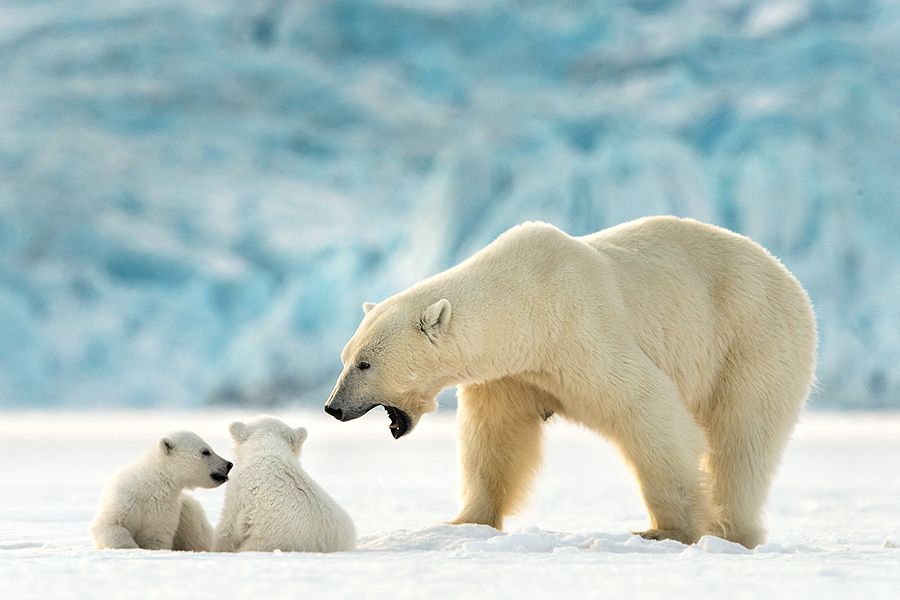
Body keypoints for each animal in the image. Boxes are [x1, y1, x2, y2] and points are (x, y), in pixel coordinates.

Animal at [91, 431, 233, 550]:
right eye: (205, 451)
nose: (229, 464)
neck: (152, 485)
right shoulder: (124, 499)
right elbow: (109, 525)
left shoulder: (163, 511)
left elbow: (155, 538)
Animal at [324, 216, 817, 549]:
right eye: (345, 358)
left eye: (365, 364)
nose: (333, 407)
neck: (525, 302)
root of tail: (790, 278)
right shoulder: (512, 372)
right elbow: (496, 438)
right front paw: (464, 522)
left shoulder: (579, 332)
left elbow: (647, 406)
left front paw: (667, 530)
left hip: (752, 338)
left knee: (743, 439)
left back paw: (731, 531)